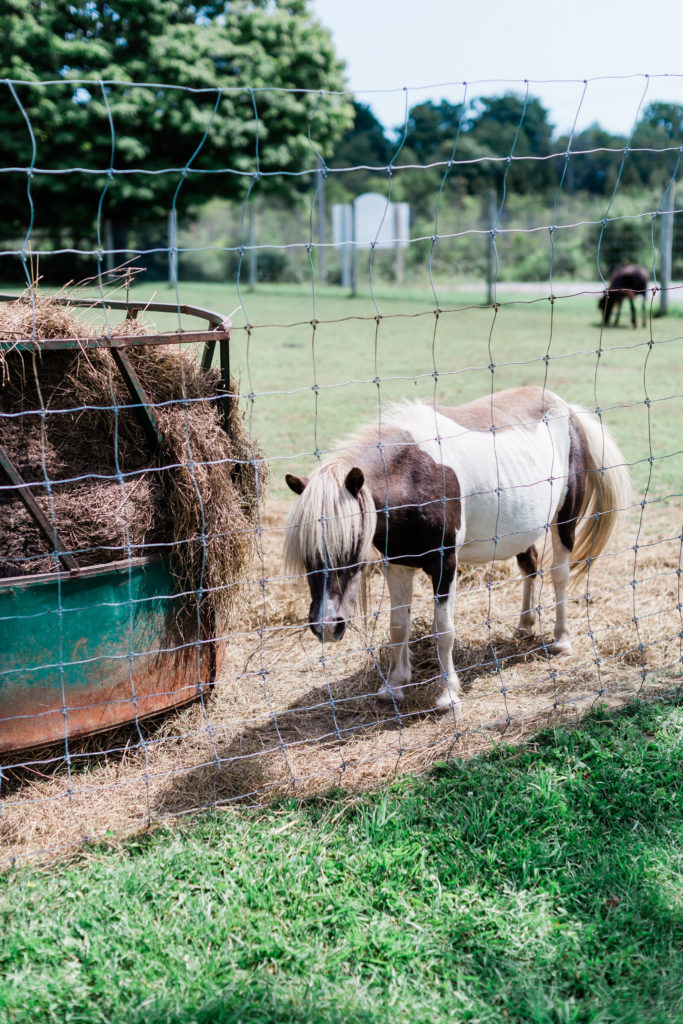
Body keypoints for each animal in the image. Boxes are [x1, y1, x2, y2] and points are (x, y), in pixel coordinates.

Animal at [282, 385, 630, 720]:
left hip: (564, 521)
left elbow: (444, 631)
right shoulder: (397, 565)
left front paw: (447, 696)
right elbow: (398, 625)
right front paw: (393, 687)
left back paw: (561, 640)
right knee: (530, 568)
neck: (412, 475)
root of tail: (567, 409)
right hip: (521, 531)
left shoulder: (444, 565)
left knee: (559, 576)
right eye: (307, 554)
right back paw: (525, 624)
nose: (327, 627)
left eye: (353, 546)